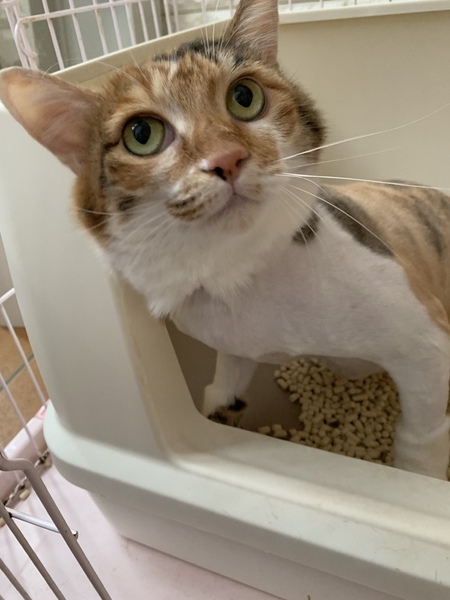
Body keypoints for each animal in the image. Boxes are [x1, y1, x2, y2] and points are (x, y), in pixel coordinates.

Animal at [1, 0, 449, 480]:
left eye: (244, 97)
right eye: (142, 135)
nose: (227, 159)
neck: (240, 273)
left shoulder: (425, 345)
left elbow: (420, 434)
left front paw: (417, 474)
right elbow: (225, 379)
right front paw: (220, 404)